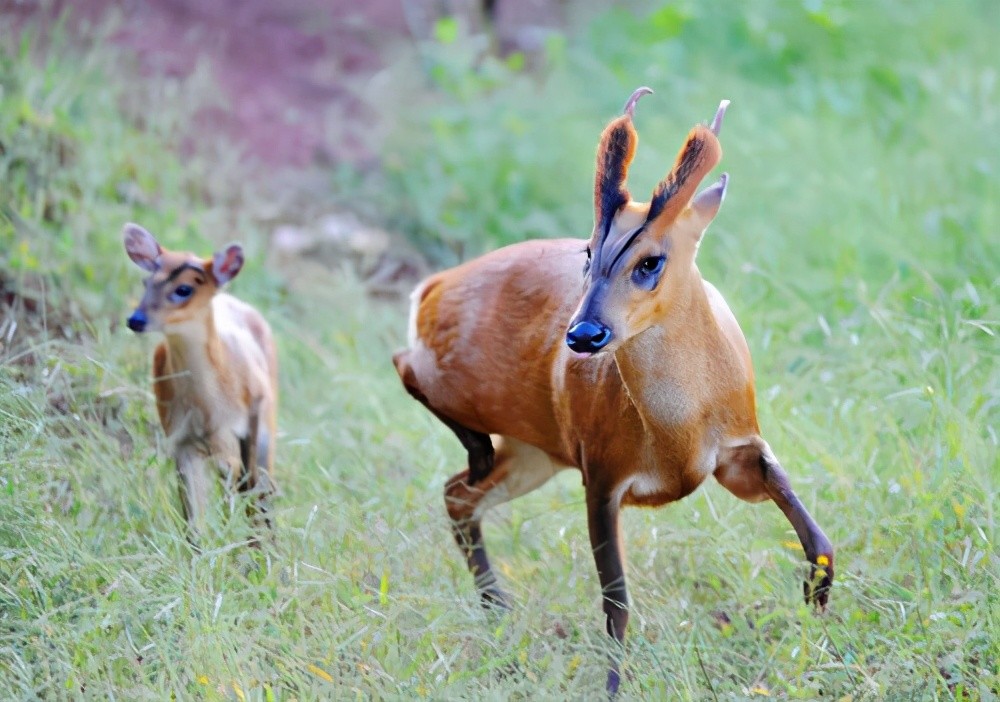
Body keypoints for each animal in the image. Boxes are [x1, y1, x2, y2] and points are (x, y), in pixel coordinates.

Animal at [127, 224, 282, 544]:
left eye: (184, 289)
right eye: (146, 281)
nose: (135, 319)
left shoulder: (240, 429)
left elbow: (242, 491)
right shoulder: (181, 439)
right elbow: (192, 520)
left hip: (264, 426)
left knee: (260, 489)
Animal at [394, 89, 832, 700]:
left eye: (651, 261)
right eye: (587, 252)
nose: (583, 335)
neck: (677, 431)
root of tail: (431, 287)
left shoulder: (739, 451)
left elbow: (816, 535)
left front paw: (817, 611)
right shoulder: (600, 474)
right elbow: (616, 602)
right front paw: (612, 686)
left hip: (534, 454)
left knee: (458, 493)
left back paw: (498, 609)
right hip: (476, 397)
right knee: (406, 371)